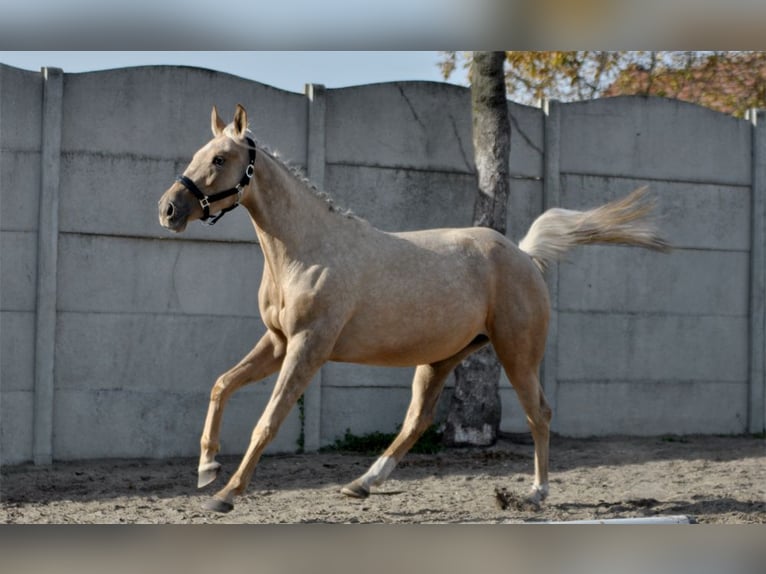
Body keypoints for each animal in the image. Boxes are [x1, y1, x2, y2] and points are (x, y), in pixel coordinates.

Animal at [158, 104, 672, 516]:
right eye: (200, 153)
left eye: (219, 159)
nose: (168, 209)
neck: (307, 251)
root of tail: (524, 255)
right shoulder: (278, 341)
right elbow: (221, 384)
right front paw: (207, 468)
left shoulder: (308, 347)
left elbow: (268, 421)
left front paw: (225, 494)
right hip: (440, 358)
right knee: (417, 420)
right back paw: (360, 485)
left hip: (517, 353)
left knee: (538, 414)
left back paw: (535, 494)